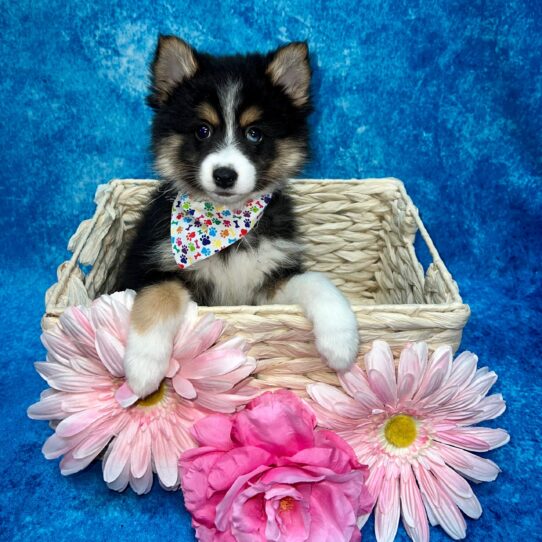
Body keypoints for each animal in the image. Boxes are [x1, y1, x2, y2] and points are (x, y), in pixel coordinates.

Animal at [120, 36, 362, 398]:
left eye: (254, 133)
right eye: (202, 130)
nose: (224, 175)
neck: (224, 225)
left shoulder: (268, 281)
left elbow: (316, 281)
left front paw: (341, 341)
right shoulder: (146, 269)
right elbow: (159, 296)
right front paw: (143, 369)